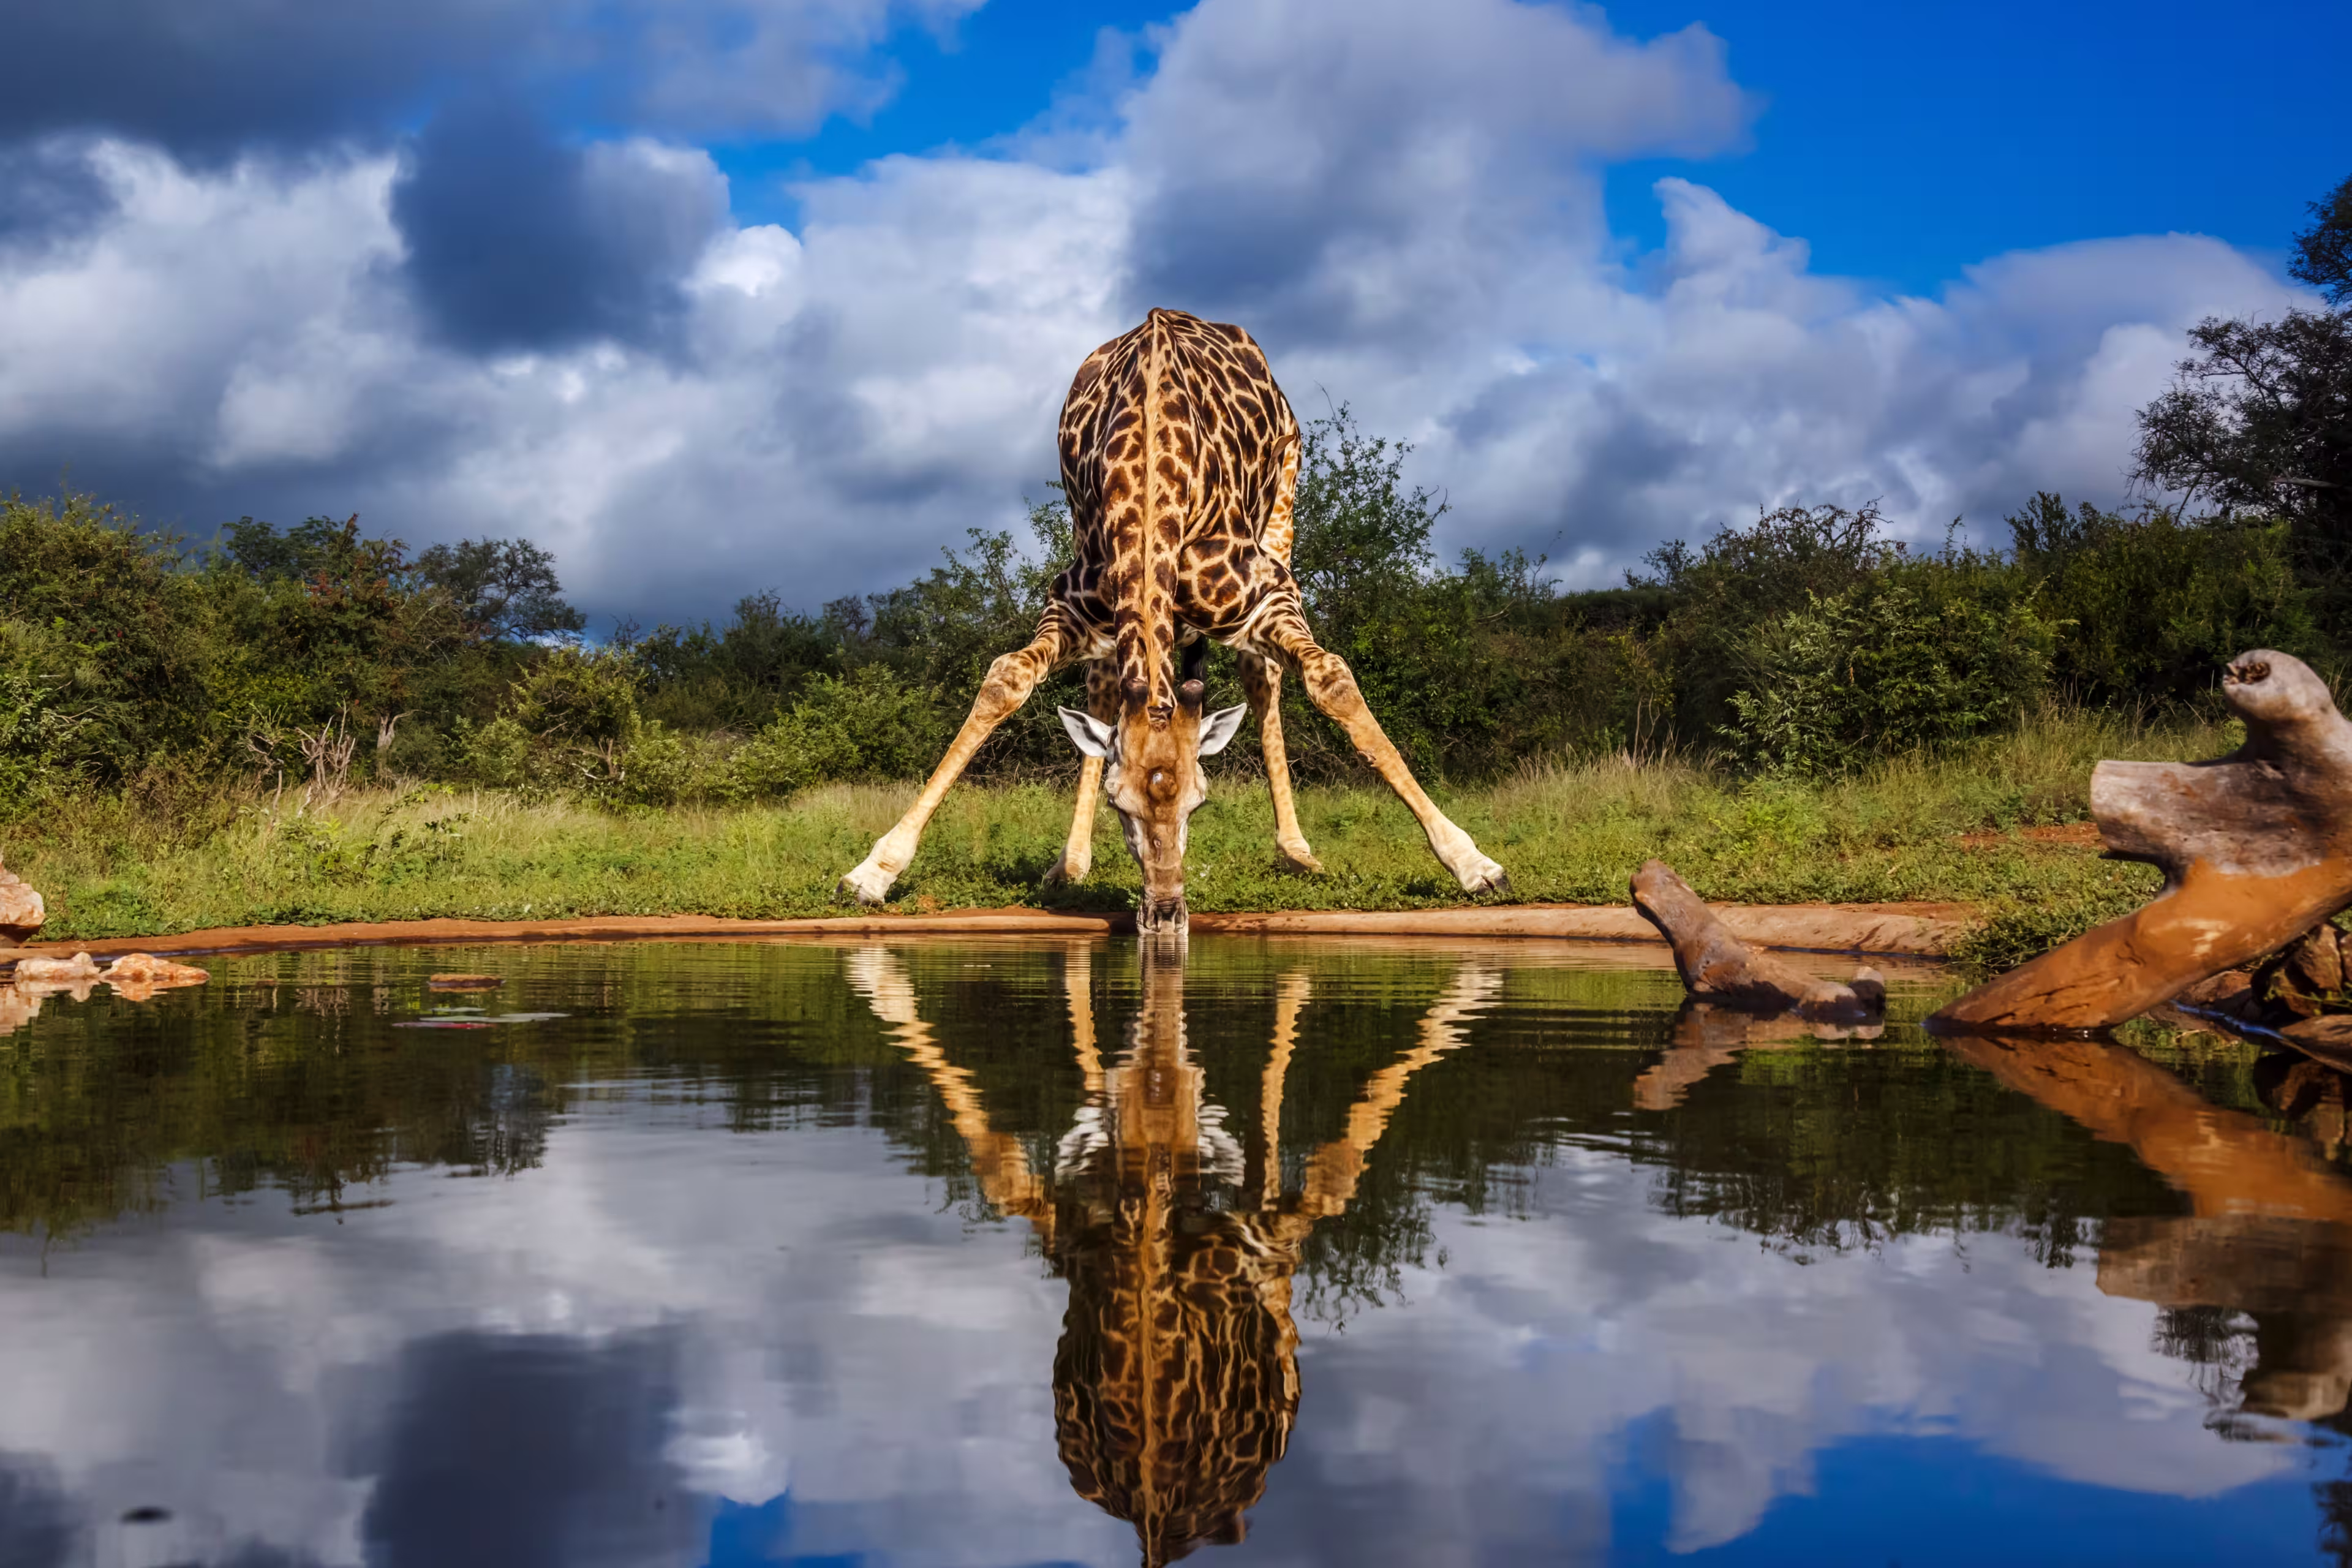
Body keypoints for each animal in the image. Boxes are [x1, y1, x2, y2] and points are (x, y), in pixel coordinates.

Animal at [837, 307, 1509, 936]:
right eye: (1121, 805)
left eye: (1200, 803)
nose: (1165, 913)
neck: (1153, 468)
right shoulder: (1072, 604)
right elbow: (1006, 681)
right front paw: (873, 871)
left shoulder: (1268, 593)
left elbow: (1333, 680)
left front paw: (1473, 862)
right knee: (1106, 688)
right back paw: (1071, 863)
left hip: (1285, 498)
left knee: (1261, 673)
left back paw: (1297, 851)